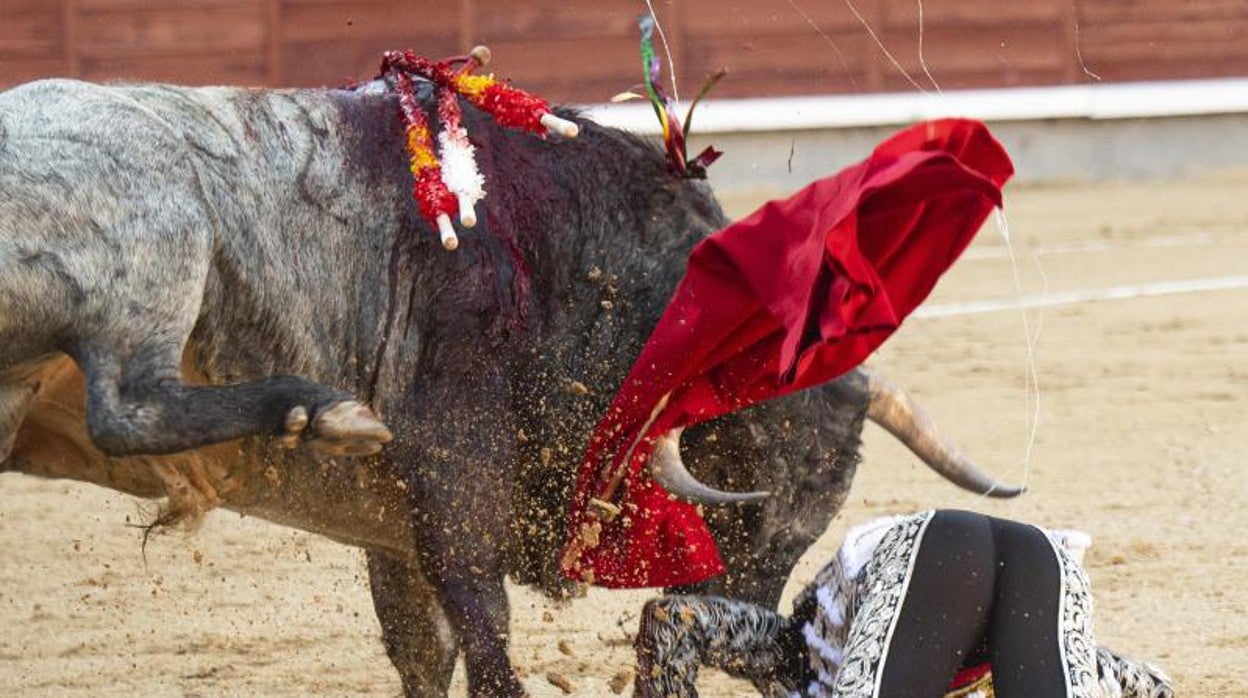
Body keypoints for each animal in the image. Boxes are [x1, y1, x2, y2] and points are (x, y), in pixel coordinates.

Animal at [0, 73, 1013, 694]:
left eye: (816, 520)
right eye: (746, 494)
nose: (744, 636)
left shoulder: (397, 531)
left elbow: (421, 649)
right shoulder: (453, 476)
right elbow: (481, 624)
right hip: (161, 235)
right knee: (127, 404)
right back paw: (319, 408)